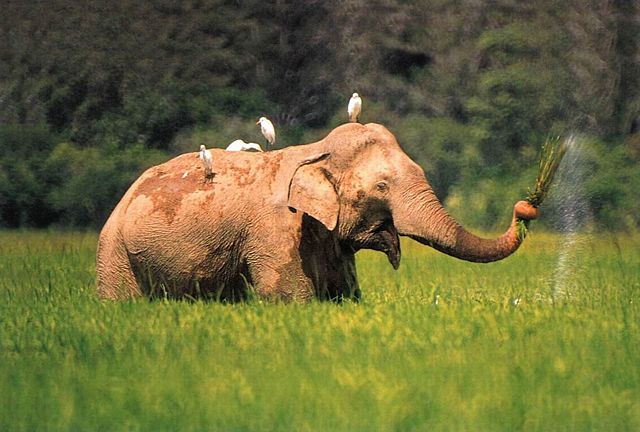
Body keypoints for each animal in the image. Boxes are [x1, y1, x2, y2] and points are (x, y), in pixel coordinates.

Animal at [96, 123, 540, 302]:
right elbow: (291, 300)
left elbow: (346, 296)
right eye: (381, 188)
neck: (316, 151)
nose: (525, 208)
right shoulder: (278, 233)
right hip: (113, 250)